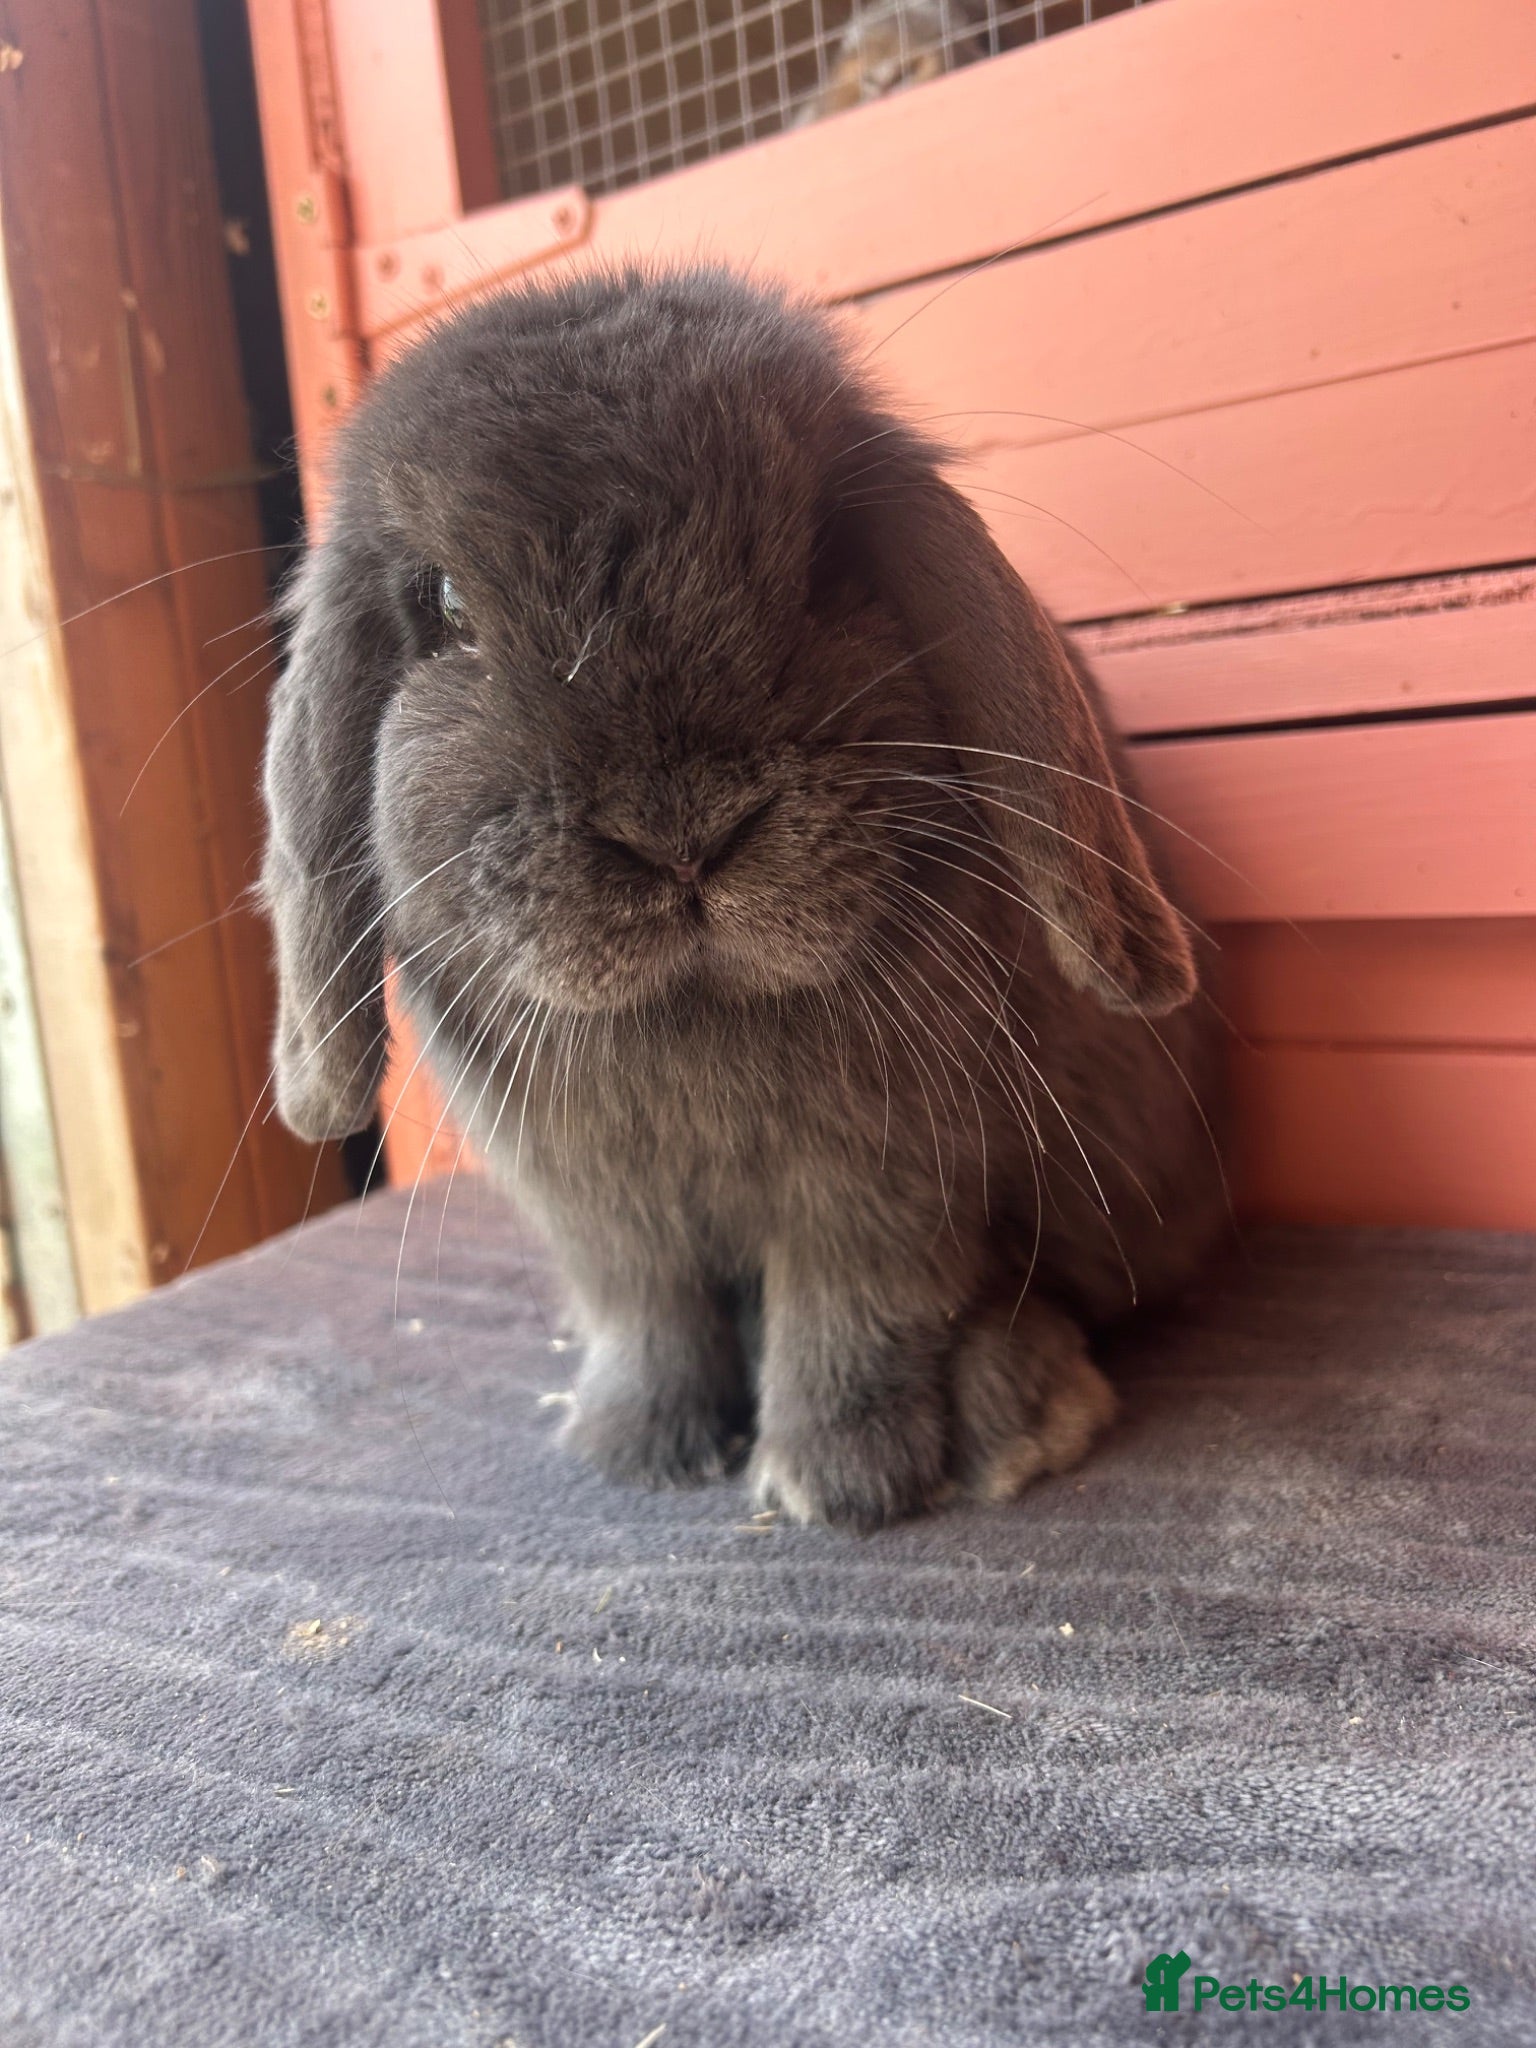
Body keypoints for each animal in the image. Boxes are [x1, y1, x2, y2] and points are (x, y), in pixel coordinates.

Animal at [261, 265, 1229, 1532]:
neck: (693, 1012)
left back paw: (1014, 1419)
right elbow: (647, 1315)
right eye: (447, 607)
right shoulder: (600, 1216)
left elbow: (854, 1307)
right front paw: (633, 1446)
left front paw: (840, 1479)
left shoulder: (881, 1186)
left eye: (826, 560)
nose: (681, 833)